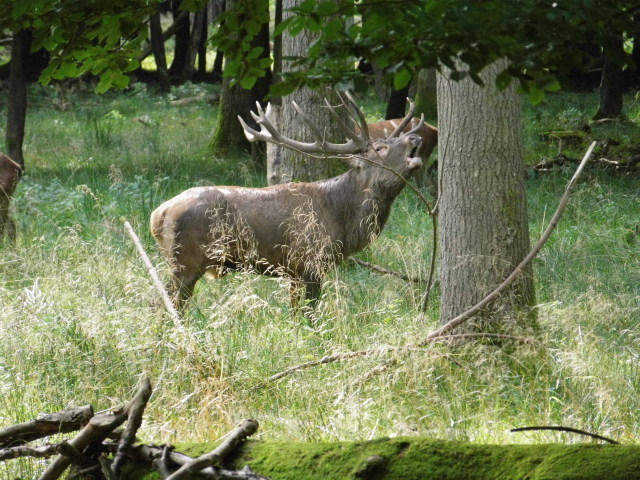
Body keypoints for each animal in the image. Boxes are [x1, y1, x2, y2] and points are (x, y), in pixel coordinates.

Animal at [151, 94, 424, 312]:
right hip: (186, 260)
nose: (415, 138)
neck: (343, 218)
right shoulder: (311, 262)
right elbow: (311, 313)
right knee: (166, 303)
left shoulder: (292, 271)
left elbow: (294, 313)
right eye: (380, 147)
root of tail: (157, 215)